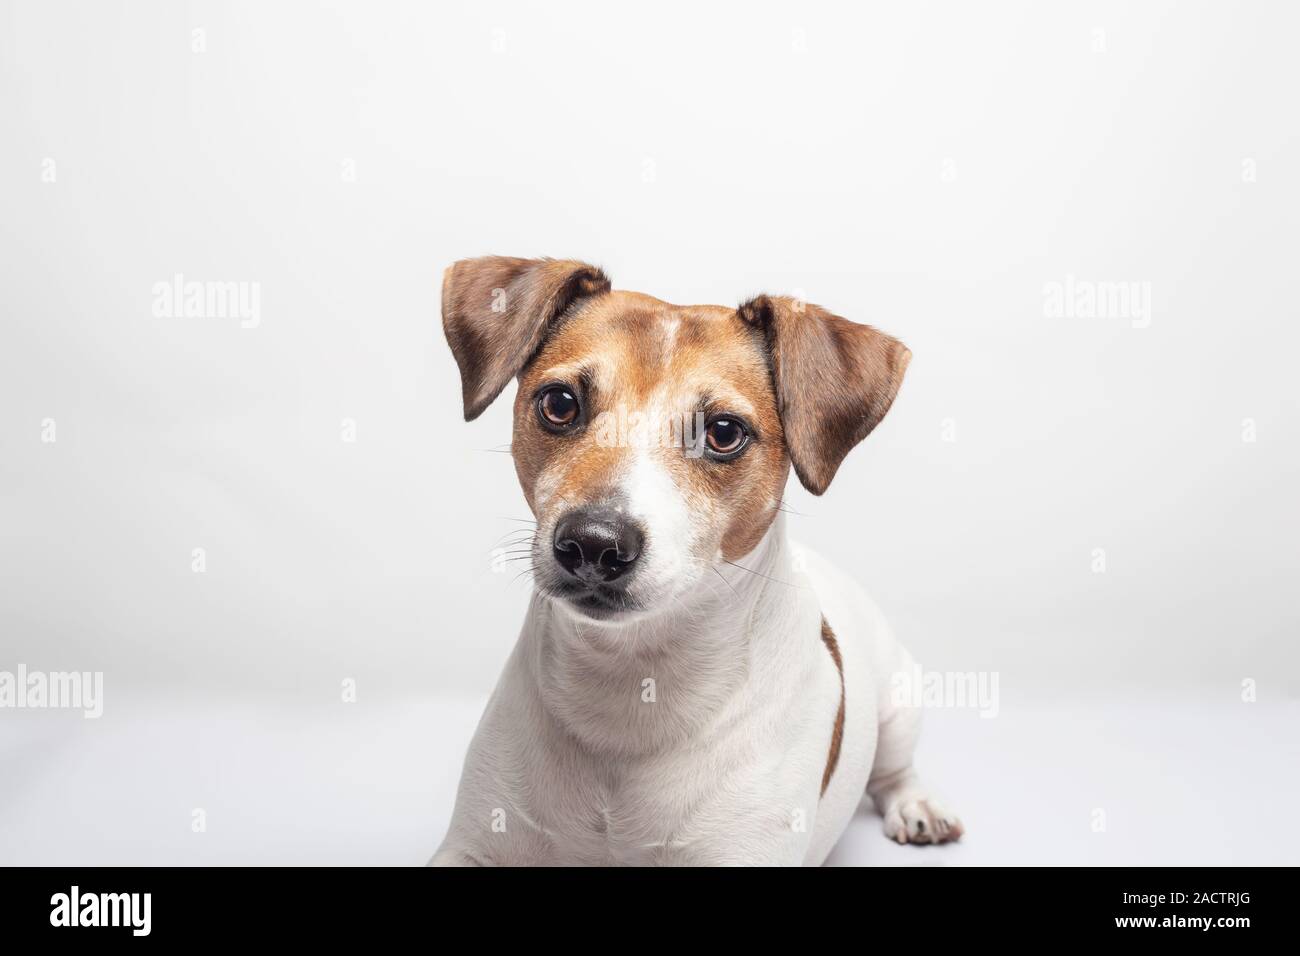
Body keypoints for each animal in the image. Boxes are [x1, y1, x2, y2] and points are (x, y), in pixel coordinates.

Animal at [431, 256, 961, 868]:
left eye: (724, 432)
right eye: (560, 403)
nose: (593, 543)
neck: (630, 685)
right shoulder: (473, 844)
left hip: (899, 699)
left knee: (896, 769)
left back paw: (917, 807)